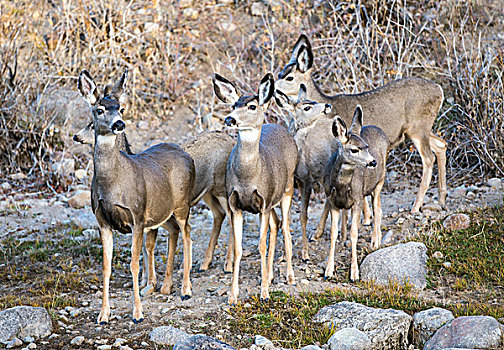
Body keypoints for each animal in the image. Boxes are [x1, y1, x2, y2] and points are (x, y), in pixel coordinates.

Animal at [77, 69, 195, 324]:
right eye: (99, 110)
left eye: (121, 108)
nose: (119, 124)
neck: (113, 184)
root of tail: (185, 154)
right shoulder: (102, 221)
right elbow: (106, 267)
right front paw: (103, 314)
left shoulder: (138, 217)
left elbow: (133, 263)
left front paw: (138, 313)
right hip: (164, 211)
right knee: (175, 232)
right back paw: (168, 287)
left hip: (182, 205)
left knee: (187, 234)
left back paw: (186, 290)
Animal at [214, 72, 300, 304]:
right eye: (233, 104)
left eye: (252, 106)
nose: (230, 119)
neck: (248, 177)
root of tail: (281, 127)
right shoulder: (236, 205)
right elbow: (238, 249)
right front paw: (232, 296)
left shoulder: (264, 203)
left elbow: (261, 245)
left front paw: (264, 293)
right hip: (272, 201)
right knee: (276, 224)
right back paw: (269, 276)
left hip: (287, 189)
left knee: (285, 227)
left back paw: (289, 277)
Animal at [278, 33, 446, 216]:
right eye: (279, 74)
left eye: (289, 77)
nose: (274, 89)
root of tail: (439, 89)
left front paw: (365, 216)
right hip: (420, 129)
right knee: (441, 145)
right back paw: (442, 200)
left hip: (418, 128)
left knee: (428, 158)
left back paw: (416, 206)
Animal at [322, 105, 390, 280]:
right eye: (354, 150)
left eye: (366, 146)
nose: (373, 162)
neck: (341, 186)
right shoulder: (332, 201)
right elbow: (333, 233)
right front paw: (328, 271)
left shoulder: (357, 200)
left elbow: (354, 232)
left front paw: (354, 272)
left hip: (380, 180)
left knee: (378, 209)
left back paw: (375, 241)